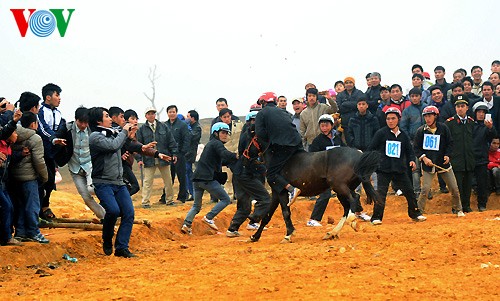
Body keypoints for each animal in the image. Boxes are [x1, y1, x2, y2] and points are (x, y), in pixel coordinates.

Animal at [248, 142, 380, 243]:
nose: (247, 154)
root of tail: (359, 154)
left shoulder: (281, 192)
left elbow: (285, 213)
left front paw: (288, 235)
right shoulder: (276, 193)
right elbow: (267, 215)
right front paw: (255, 236)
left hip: (339, 186)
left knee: (354, 199)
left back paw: (351, 221)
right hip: (340, 190)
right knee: (347, 207)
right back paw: (332, 233)